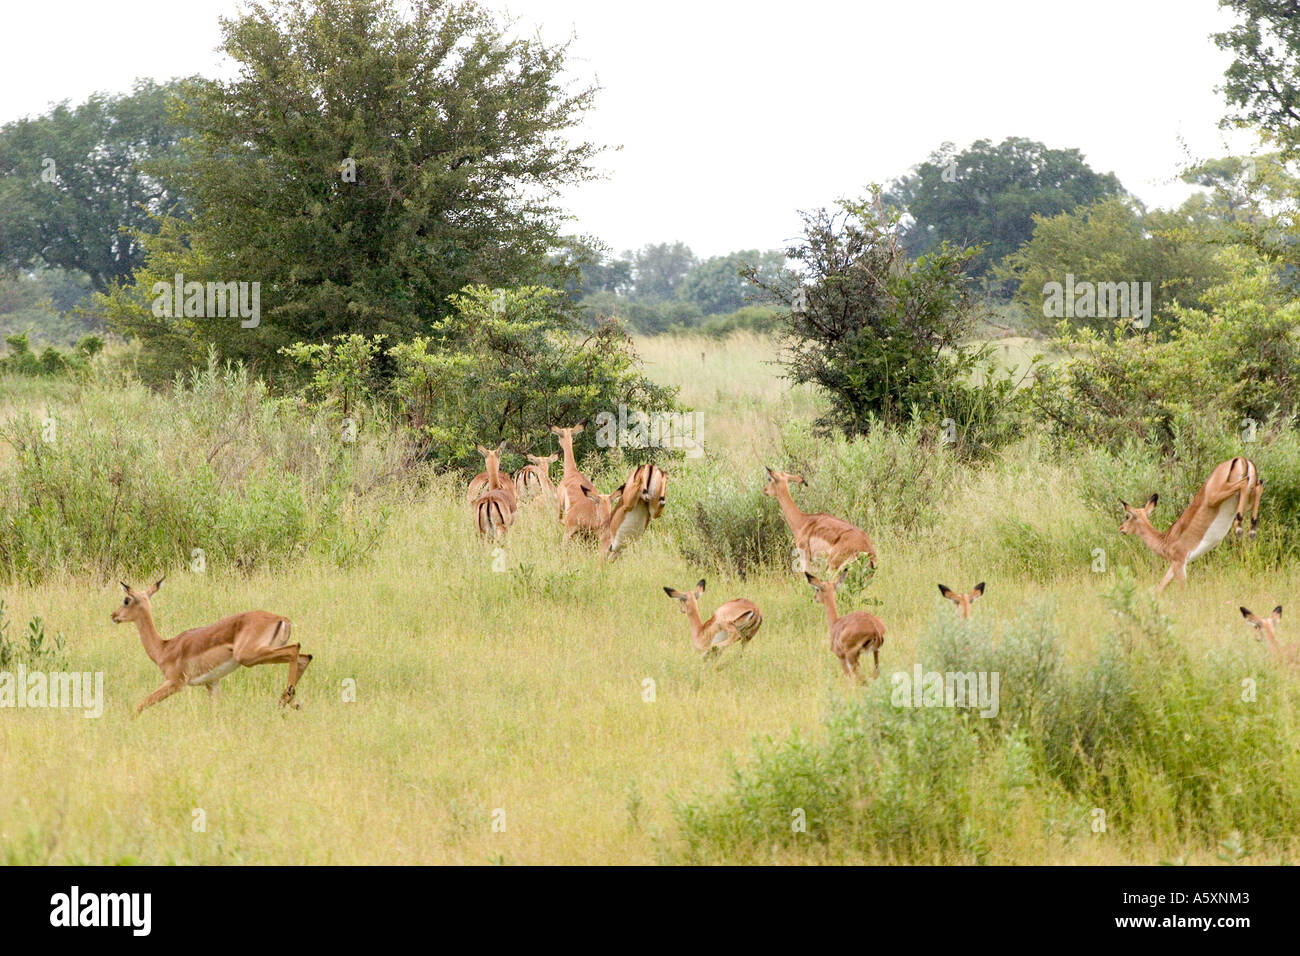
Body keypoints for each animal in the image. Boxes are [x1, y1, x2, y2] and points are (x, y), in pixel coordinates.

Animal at [110, 580, 310, 712]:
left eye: (126, 600)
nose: (113, 615)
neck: (164, 648)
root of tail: (282, 619)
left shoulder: (175, 683)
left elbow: (140, 705)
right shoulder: (212, 683)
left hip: (248, 657)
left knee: (295, 649)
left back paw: (286, 698)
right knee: (305, 656)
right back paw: (291, 702)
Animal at [1118, 455, 1258, 590]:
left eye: (1127, 516)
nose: (1121, 528)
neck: (1165, 541)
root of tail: (1241, 459)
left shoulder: (1179, 563)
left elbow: (1181, 589)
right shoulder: (1174, 566)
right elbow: (1160, 586)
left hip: (1217, 495)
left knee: (1244, 483)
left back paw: (1240, 527)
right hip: (1247, 495)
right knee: (1258, 486)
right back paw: (1251, 529)